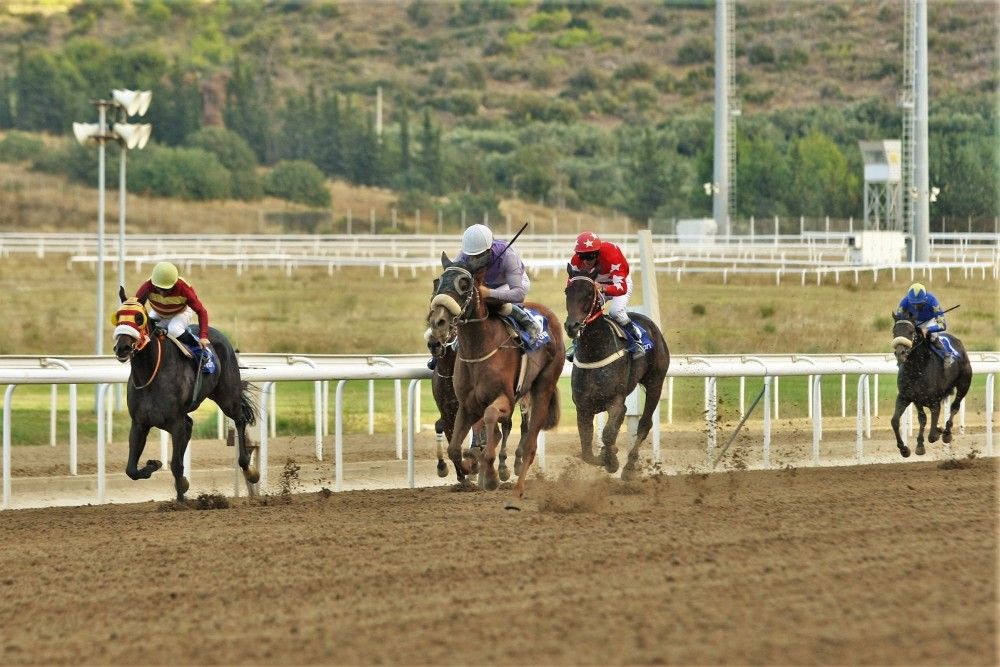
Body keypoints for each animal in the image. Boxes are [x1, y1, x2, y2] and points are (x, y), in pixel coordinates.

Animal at [111, 288, 260, 500]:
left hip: (227, 397)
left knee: (239, 419)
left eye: (139, 318)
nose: (122, 347)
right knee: (190, 425)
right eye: (118, 317)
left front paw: (181, 488)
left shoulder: (175, 422)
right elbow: (131, 470)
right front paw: (155, 465)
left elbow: (175, 464)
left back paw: (249, 470)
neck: (151, 374)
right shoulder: (140, 423)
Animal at [428, 253, 564, 508]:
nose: (438, 323)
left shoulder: (506, 399)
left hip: (543, 387)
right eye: (438, 282)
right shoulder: (465, 406)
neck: (478, 349)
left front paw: (490, 474)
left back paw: (516, 492)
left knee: (529, 444)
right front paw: (470, 466)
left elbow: (492, 417)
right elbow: (454, 449)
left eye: (465, 283)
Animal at [564, 264, 672, 480]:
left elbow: (607, 433)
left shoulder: (615, 400)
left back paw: (629, 467)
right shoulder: (583, 406)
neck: (595, 352)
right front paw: (607, 456)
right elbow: (587, 450)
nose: (572, 326)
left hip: (656, 382)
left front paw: (612, 461)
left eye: (589, 293)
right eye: (567, 292)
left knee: (645, 423)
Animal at [892, 320, 968, 456]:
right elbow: (897, 421)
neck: (916, 369)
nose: (900, 353)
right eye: (894, 332)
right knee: (924, 418)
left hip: (964, 384)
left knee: (955, 407)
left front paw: (937, 433)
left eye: (911, 332)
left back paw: (946, 433)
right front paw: (905, 449)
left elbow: (932, 434)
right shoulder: (906, 397)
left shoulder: (934, 401)